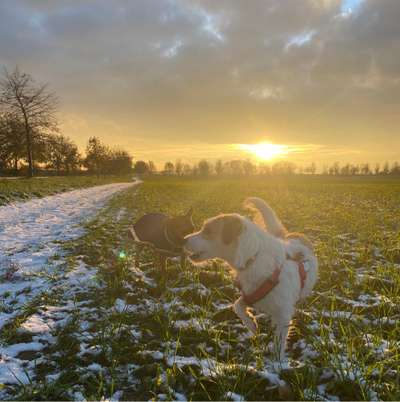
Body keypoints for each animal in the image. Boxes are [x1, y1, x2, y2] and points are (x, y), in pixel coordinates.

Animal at [185, 198, 318, 362]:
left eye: (208, 231)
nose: (183, 240)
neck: (253, 257)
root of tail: (290, 235)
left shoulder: (283, 315)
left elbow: (279, 342)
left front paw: (278, 363)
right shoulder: (252, 295)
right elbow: (237, 306)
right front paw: (252, 325)